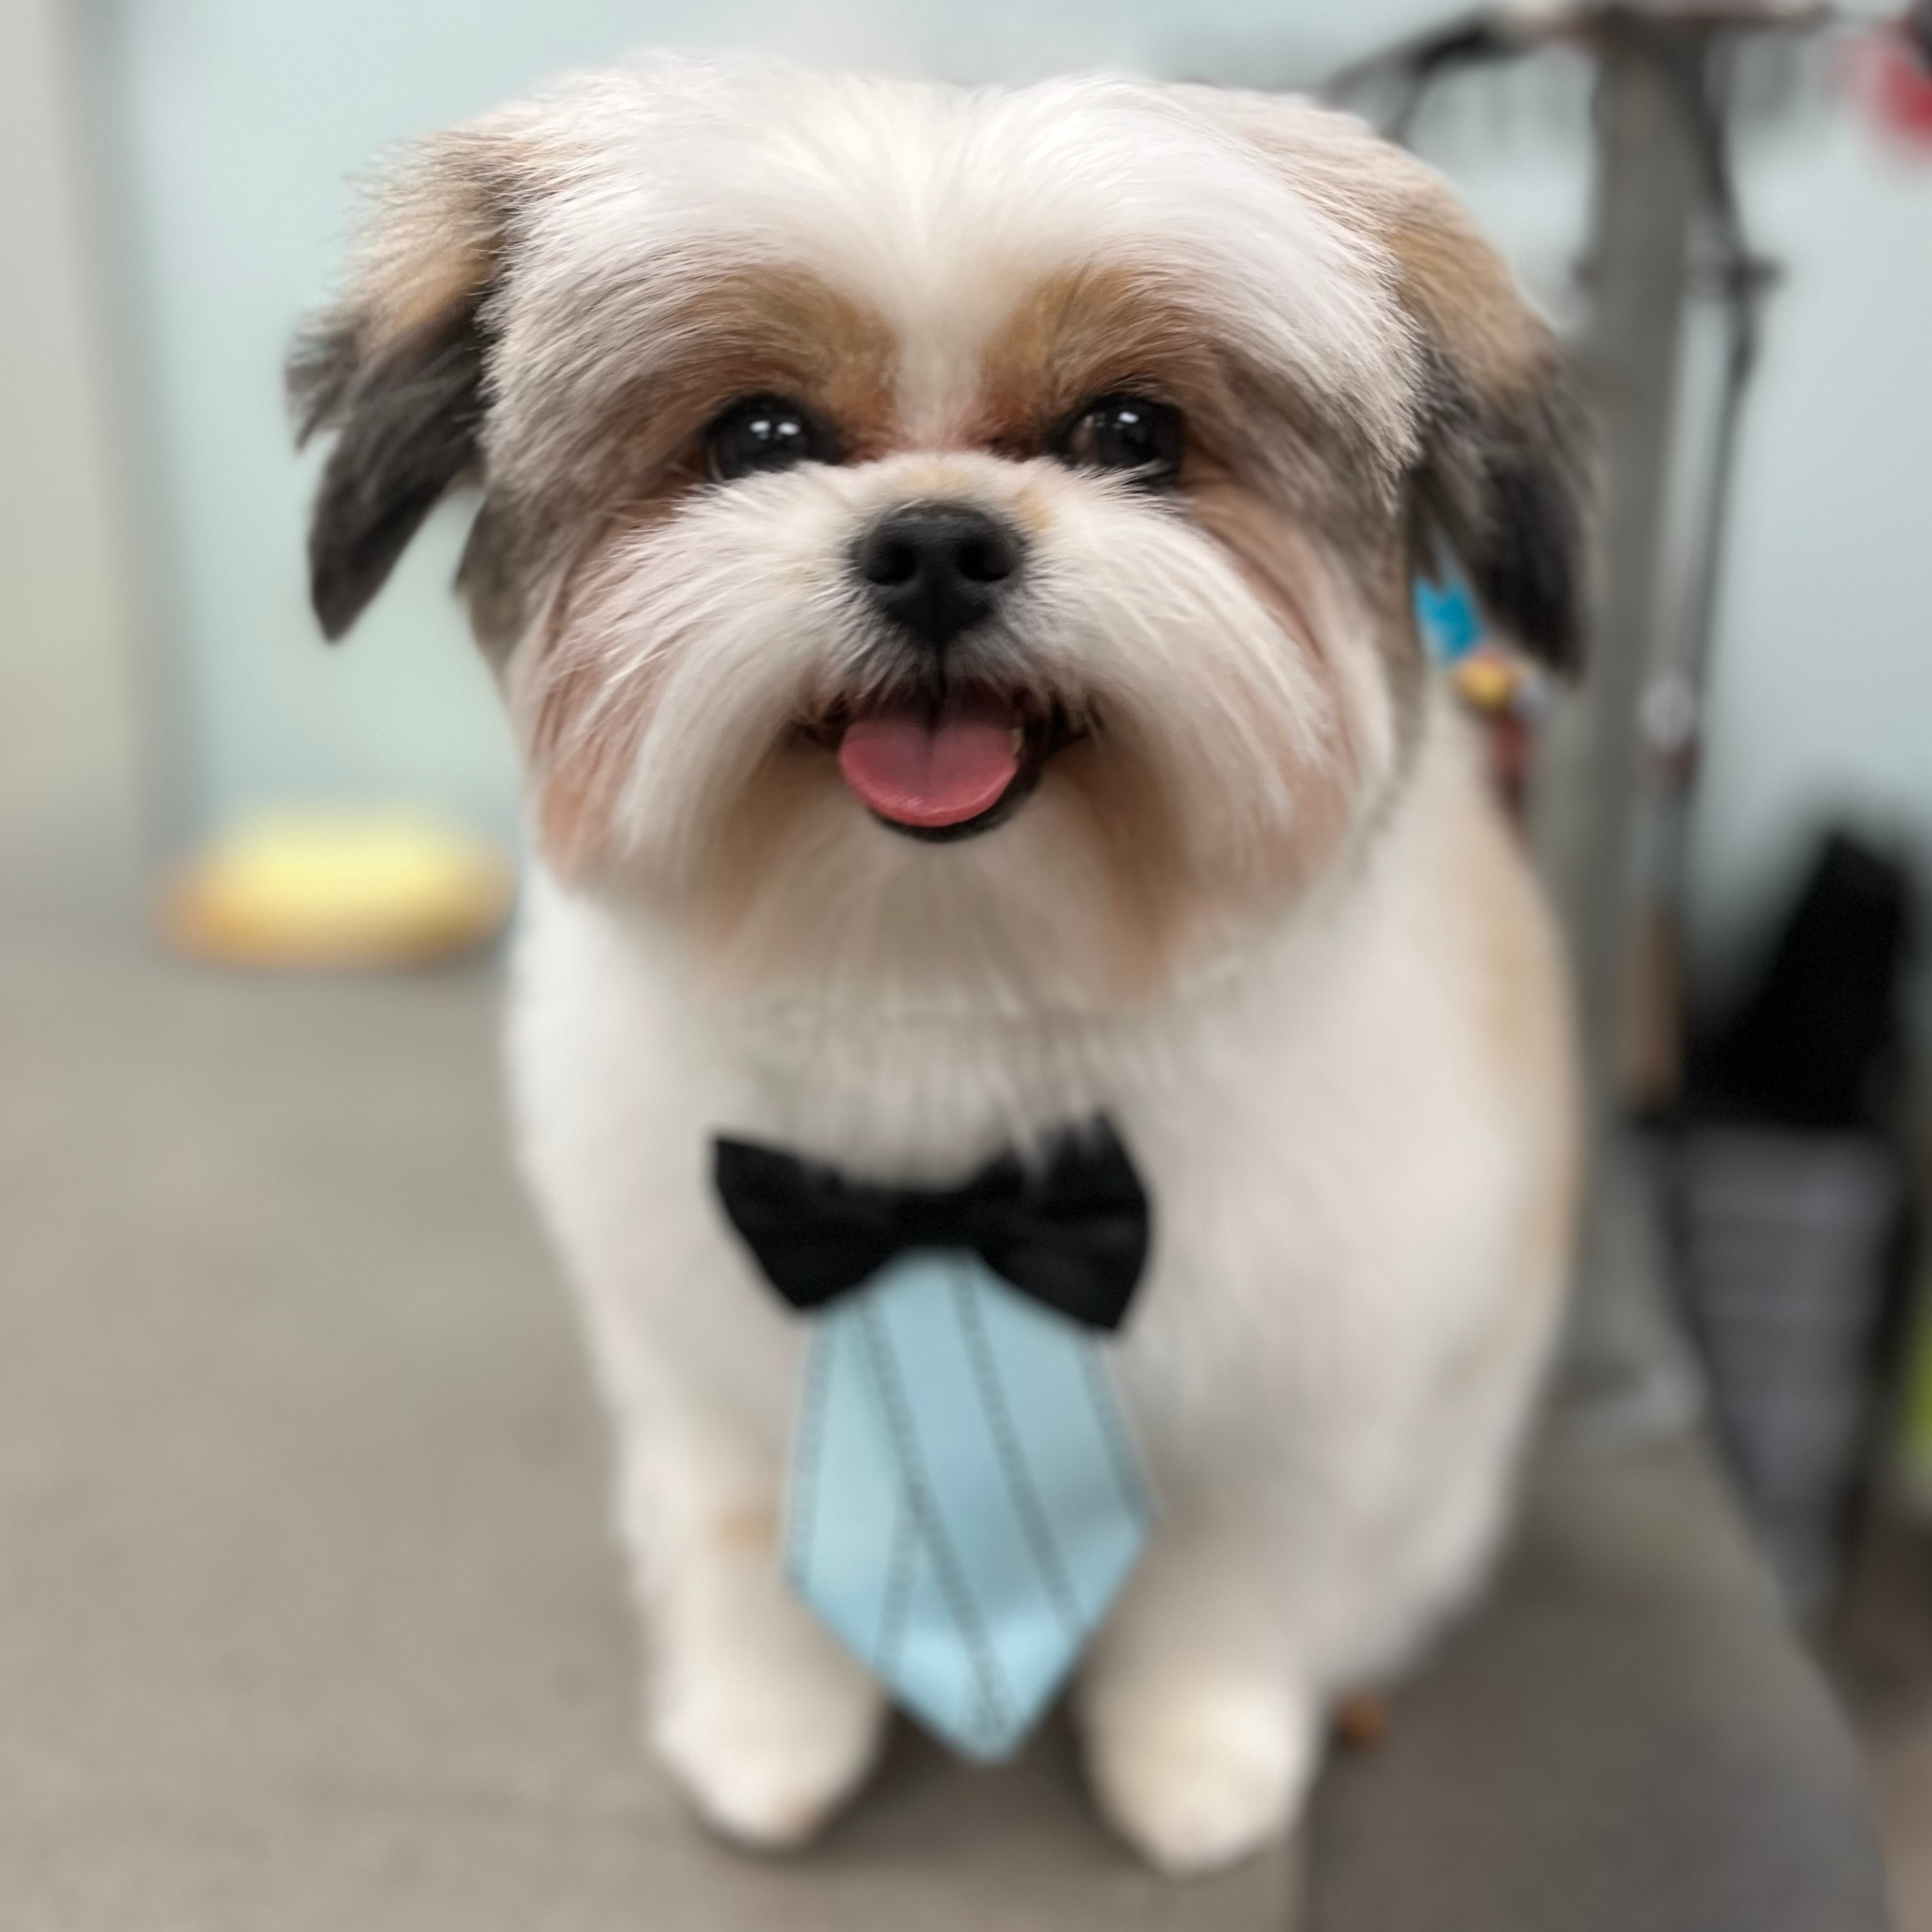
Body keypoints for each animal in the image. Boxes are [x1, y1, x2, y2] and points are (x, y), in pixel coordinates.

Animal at [289, 56, 1584, 1870]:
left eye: (1132, 434)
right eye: (757, 435)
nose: (933, 543)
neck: (941, 981)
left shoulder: (1304, 1379)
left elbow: (1233, 1580)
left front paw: (1198, 1755)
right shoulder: (704, 1348)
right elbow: (742, 1536)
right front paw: (766, 1729)